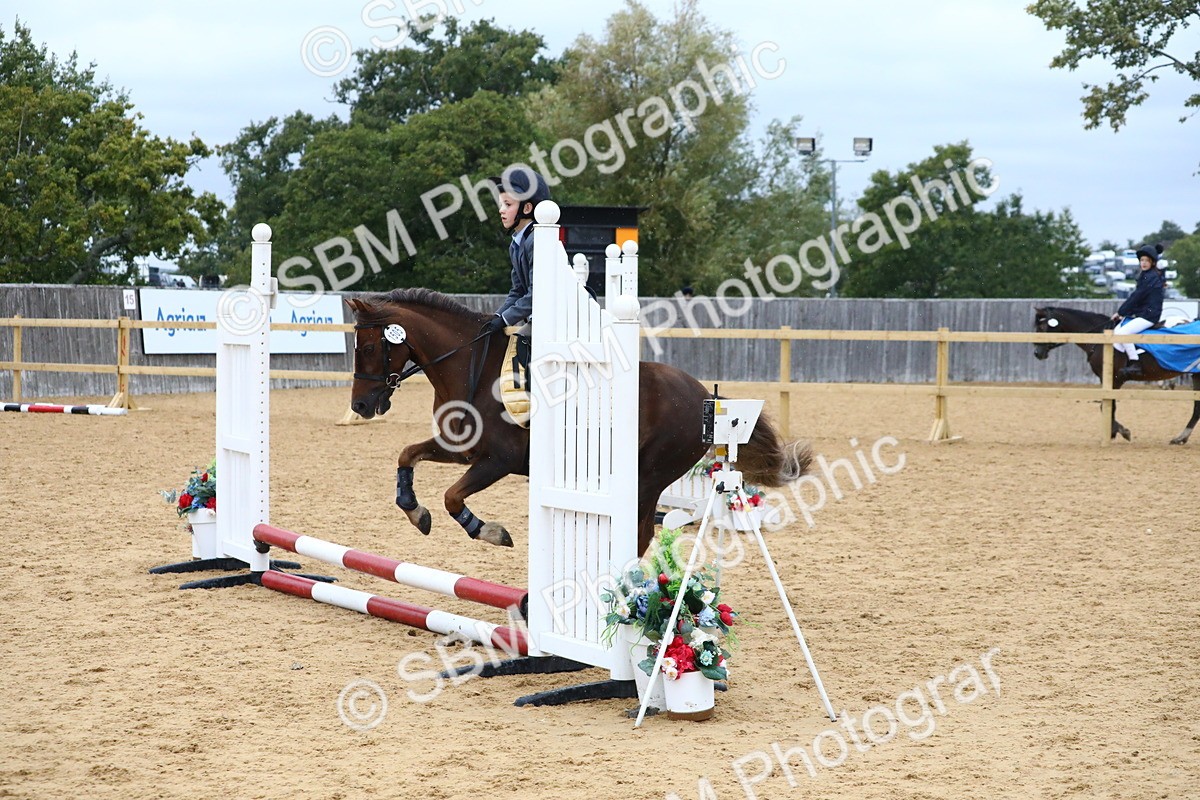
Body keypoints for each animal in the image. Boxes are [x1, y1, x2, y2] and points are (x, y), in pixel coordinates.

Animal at [346, 289, 812, 555]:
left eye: (368, 348)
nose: (361, 406)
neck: (469, 369)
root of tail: (701, 393)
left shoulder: (497, 461)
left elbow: (452, 498)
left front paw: (491, 532)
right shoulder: (461, 450)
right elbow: (407, 457)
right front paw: (414, 511)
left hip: (650, 475)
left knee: (640, 534)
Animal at [1033, 306, 1199, 444]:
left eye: (1042, 327)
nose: (1037, 353)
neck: (1100, 336)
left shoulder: (1114, 378)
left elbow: (1106, 405)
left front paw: (1121, 432)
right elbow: (1109, 405)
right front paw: (1115, 432)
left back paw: (1180, 437)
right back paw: (1181, 438)